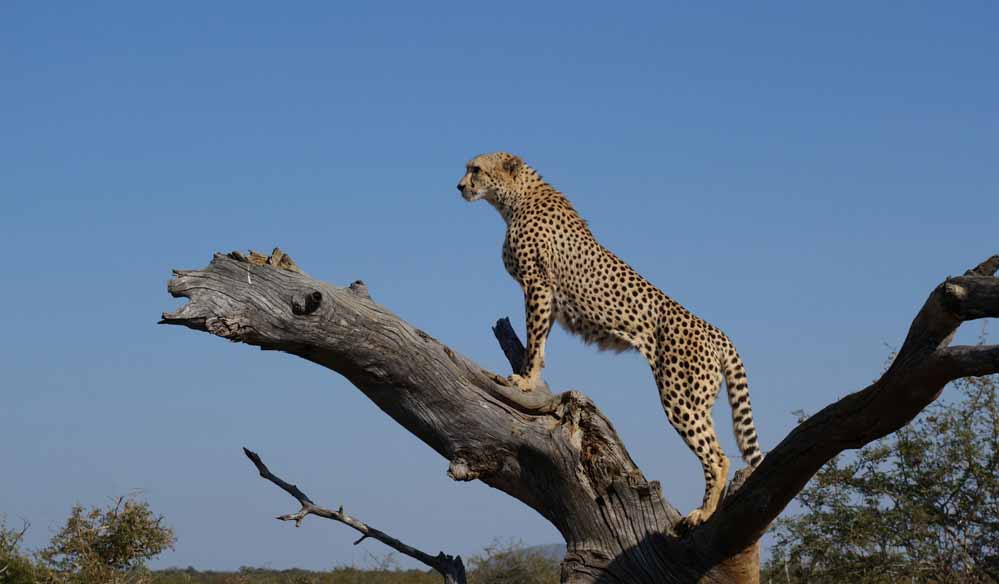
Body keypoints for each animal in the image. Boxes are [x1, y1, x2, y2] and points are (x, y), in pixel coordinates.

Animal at [457, 152, 764, 526]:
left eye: (476, 169)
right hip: (700, 399)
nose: (459, 186)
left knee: (718, 456)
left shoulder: (538, 285)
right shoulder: (548, 295)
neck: (515, 199)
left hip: (680, 396)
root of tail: (717, 332)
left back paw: (702, 513)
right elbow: (540, 342)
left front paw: (525, 380)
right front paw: (531, 376)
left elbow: (534, 338)